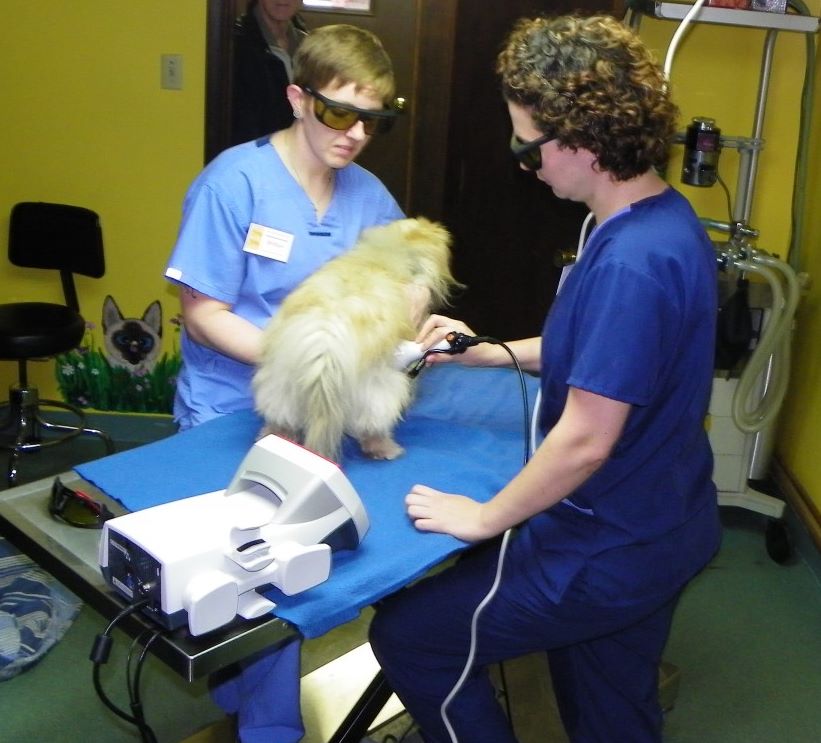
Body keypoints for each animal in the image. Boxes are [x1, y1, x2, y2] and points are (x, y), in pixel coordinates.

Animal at [253, 217, 458, 460]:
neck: (387, 253)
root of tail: (326, 344)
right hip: (379, 390)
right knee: (372, 425)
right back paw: (385, 448)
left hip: (280, 386)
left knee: (282, 419)